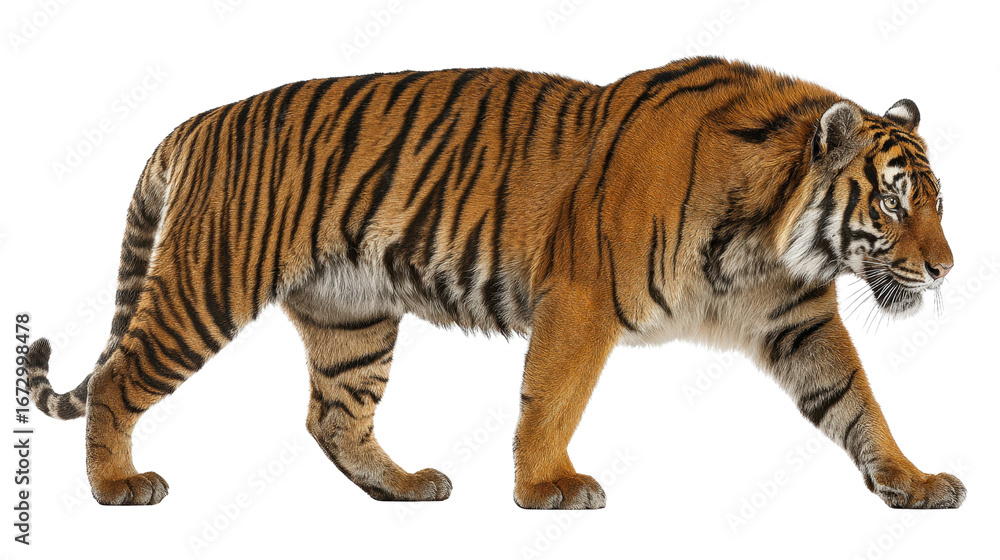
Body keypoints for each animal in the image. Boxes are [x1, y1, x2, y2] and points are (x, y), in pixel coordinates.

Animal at [26, 56, 965, 509]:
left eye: (937, 202)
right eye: (892, 200)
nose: (946, 269)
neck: (772, 239)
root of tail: (195, 122)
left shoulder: (798, 320)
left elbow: (857, 402)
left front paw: (913, 482)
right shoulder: (582, 299)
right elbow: (551, 399)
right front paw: (548, 489)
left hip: (353, 319)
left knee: (334, 417)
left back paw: (403, 487)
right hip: (206, 286)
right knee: (116, 378)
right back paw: (116, 487)